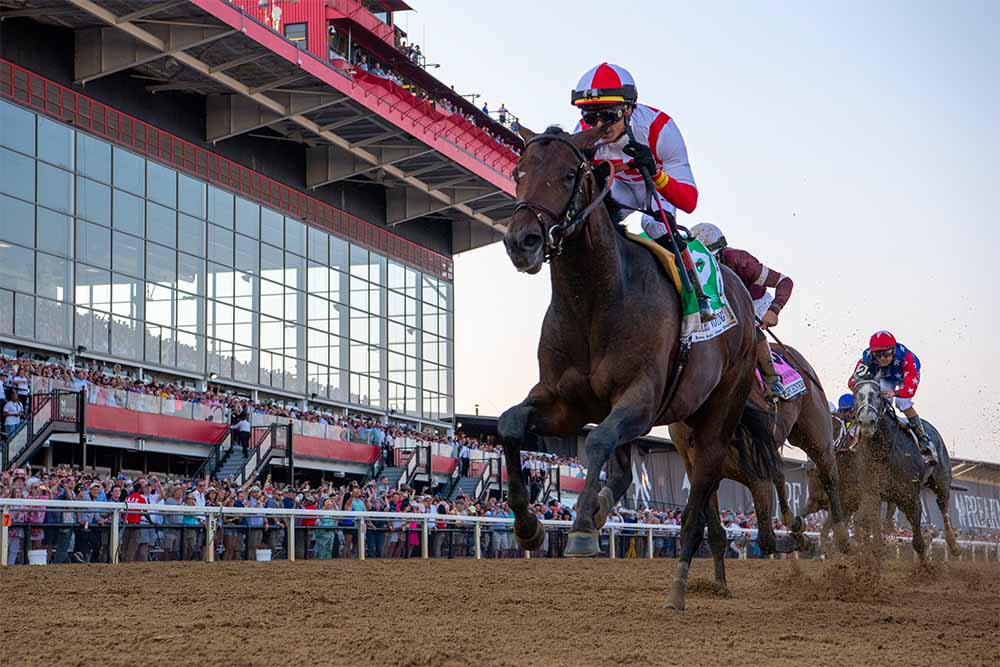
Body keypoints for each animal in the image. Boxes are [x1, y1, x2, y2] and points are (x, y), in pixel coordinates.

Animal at [500, 126, 772, 612]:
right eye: (519, 171)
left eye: (568, 174)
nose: (521, 241)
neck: (594, 301)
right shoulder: (563, 402)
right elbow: (510, 424)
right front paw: (529, 525)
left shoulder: (641, 399)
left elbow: (597, 441)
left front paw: (581, 531)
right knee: (626, 469)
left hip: (716, 416)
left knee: (697, 501)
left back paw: (679, 588)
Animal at [852, 378, 960, 560]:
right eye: (855, 395)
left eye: (878, 395)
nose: (866, 422)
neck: (883, 450)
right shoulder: (871, 493)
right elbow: (870, 532)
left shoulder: (911, 496)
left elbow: (918, 542)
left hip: (941, 482)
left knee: (943, 506)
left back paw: (953, 545)